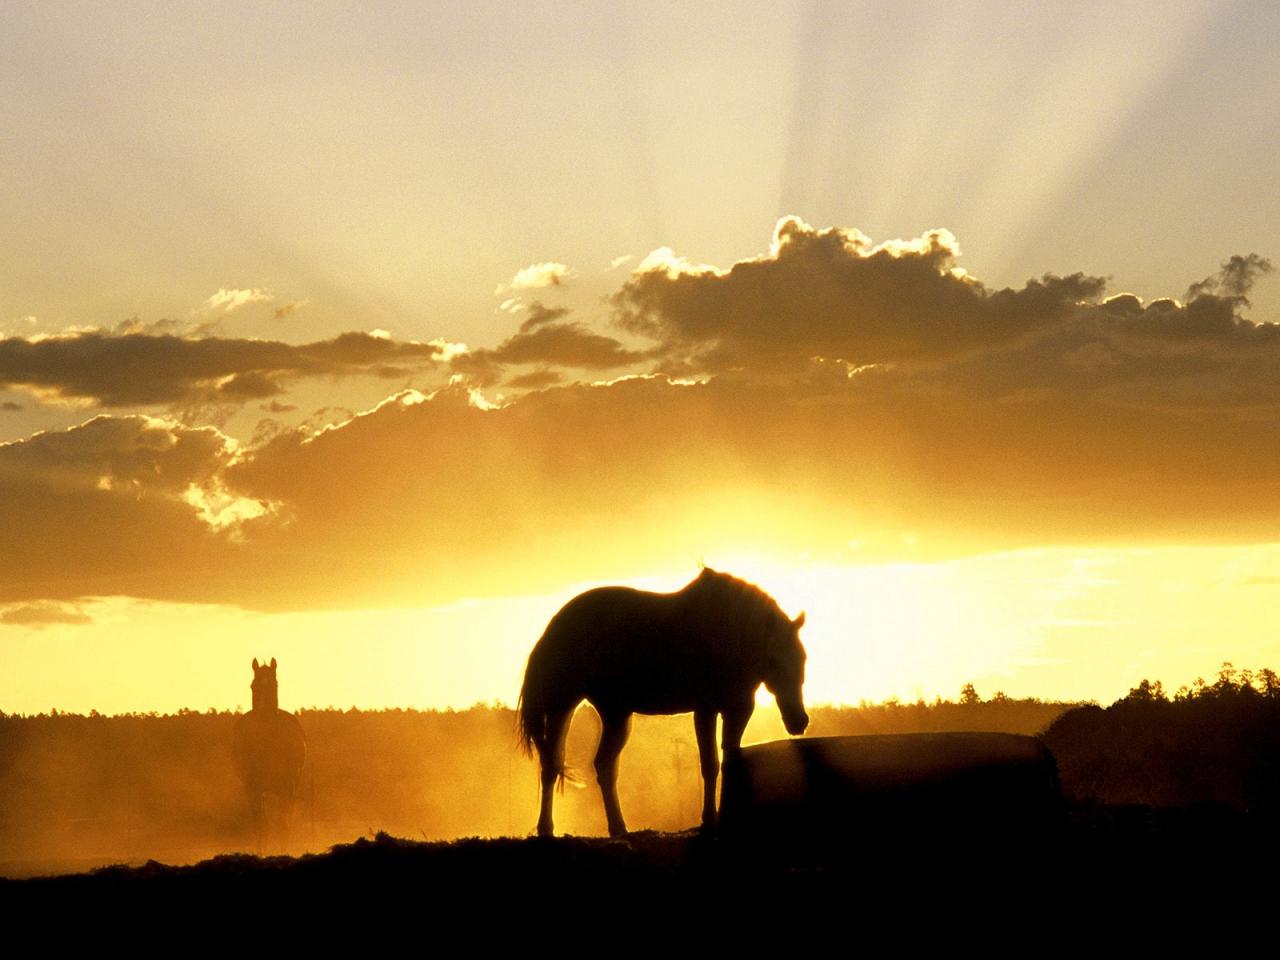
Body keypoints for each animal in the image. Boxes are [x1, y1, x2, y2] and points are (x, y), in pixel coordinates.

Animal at [232, 660, 307, 855]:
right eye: (253, 686)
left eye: (274, 685)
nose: (263, 715)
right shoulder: (253, 789)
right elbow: (261, 825)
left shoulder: (288, 788)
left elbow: (283, 825)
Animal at [514, 568, 803, 839]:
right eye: (775, 659)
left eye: (802, 658)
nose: (799, 721)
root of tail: (551, 630)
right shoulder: (706, 710)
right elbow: (710, 764)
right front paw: (709, 820)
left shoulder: (739, 709)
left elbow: (731, 759)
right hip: (561, 706)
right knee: (552, 764)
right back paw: (547, 828)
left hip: (616, 713)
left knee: (603, 765)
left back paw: (618, 828)